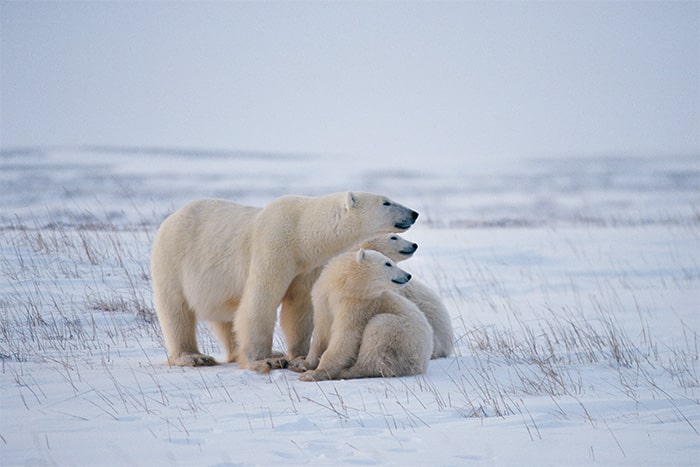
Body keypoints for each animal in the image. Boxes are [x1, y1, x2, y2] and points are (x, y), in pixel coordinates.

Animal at [150, 192, 418, 372]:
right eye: (386, 202)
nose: (414, 213)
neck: (301, 232)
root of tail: (171, 218)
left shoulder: (307, 266)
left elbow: (299, 307)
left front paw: (298, 356)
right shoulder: (274, 245)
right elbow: (260, 300)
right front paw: (266, 359)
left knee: (225, 317)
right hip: (172, 259)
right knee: (176, 310)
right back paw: (193, 356)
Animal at [296, 250, 432, 382]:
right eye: (388, 263)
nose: (408, 275)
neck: (342, 286)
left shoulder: (357, 307)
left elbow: (345, 336)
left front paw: (313, 374)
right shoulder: (323, 301)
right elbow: (321, 333)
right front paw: (302, 364)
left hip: (403, 339)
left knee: (378, 337)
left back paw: (347, 371)